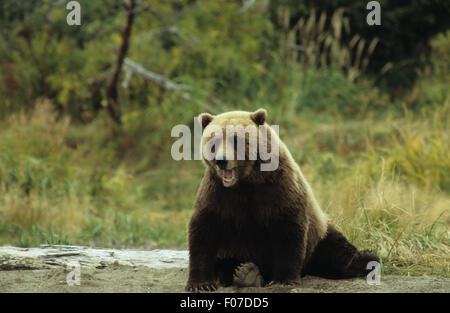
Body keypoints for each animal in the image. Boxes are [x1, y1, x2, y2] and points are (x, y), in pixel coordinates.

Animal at [186, 108, 380, 292]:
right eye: (214, 141)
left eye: (236, 139)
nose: (221, 160)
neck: (246, 181)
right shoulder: (218, 194)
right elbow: (204, 230)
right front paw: (200, 284)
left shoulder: (278, 186)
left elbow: (288, 229)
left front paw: (283, 279)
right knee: (225, 262)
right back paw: (244, 272)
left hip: (318, 234)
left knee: (334, 248)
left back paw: (366, 259)